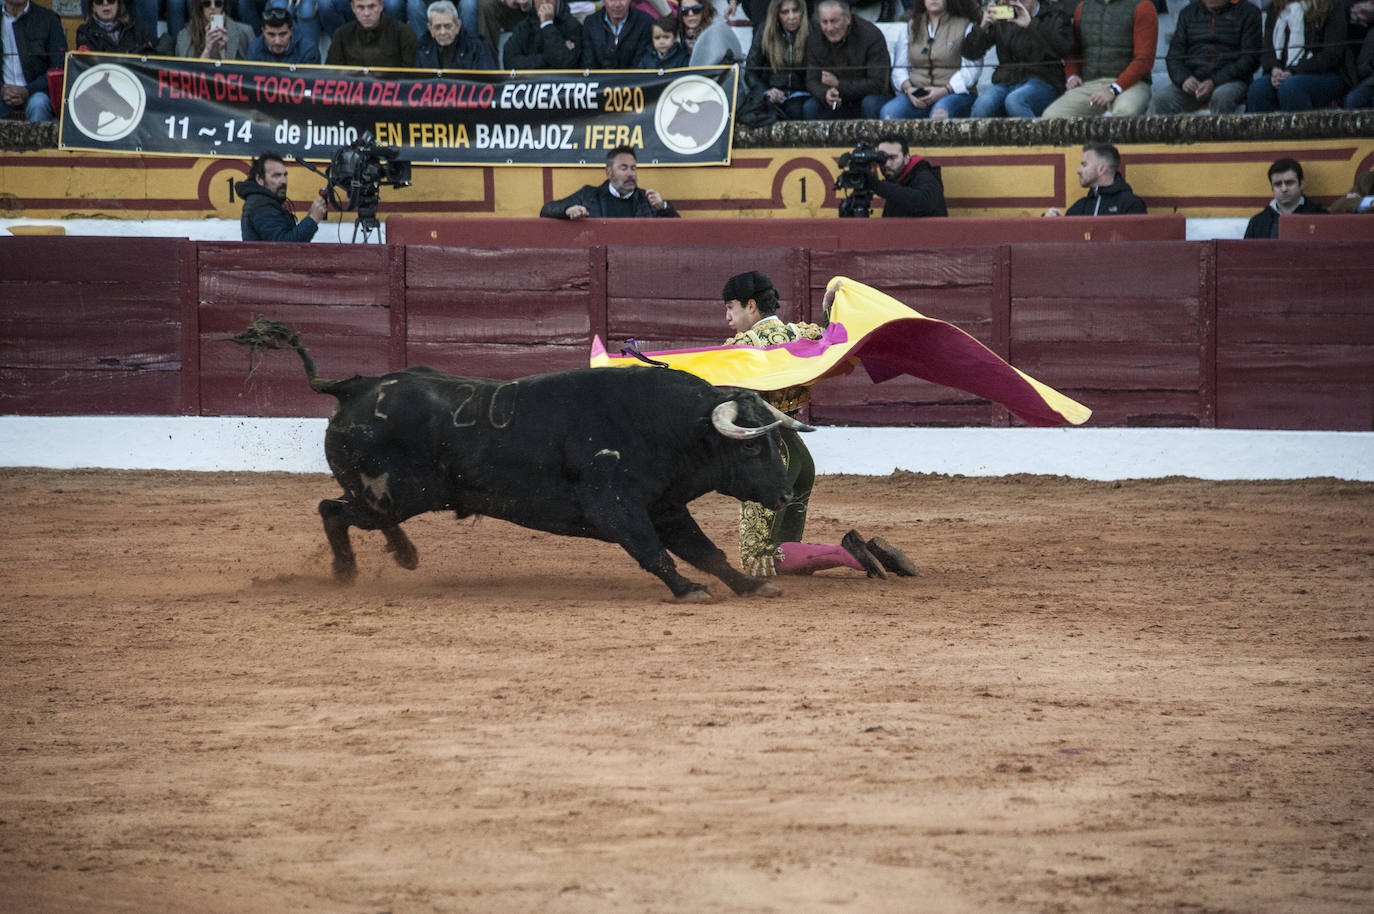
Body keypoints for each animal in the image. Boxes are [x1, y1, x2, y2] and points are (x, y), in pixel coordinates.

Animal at [237, 325, 813, 599]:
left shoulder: (666, 506)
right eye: (752, 445)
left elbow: (706, 551)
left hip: (392, 495)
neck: (665, 424)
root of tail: (352, 387)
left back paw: (405, 556)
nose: (787, 494)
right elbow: (655, 551)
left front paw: (751, 585)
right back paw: (347, 571)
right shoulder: (617, 506)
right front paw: (688, 590)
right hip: (397, 493)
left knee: (351, 512)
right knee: (333, 510)